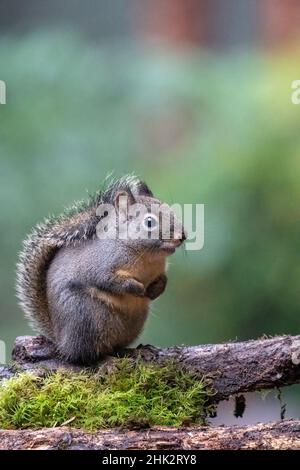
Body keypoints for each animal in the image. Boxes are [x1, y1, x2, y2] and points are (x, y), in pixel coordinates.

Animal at [17, 176, 185, 364]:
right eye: (150, 222)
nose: (182, 236)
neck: (147, 256)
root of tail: (61, 340)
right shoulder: (100, 265)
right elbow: (108, 280)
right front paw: (137, 288)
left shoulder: (159, 270)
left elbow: (163, 279)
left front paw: (155, 290)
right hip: (86, 316)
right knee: (85, 353)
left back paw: (134, 351)